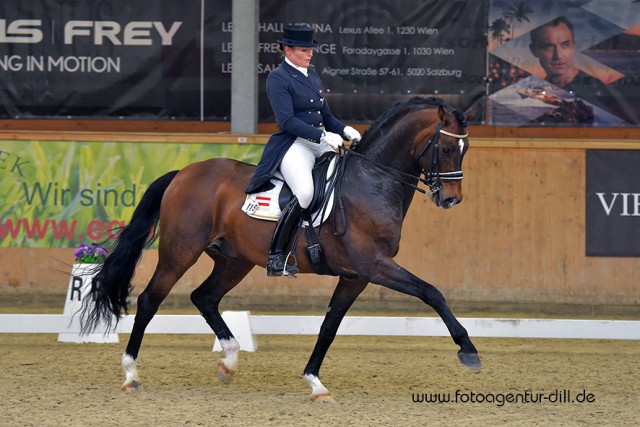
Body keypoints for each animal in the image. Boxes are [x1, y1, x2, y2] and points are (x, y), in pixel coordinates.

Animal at [80, 97, 480, 404]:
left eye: (465, 149)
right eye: (446, 148)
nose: (451, 199)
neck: (371, 182)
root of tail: (183, 173)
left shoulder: (355, 276)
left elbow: (329, 326)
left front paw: (316, 384)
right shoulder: (373, 265)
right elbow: (432, 292)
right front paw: (468, 350)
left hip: (234, 260)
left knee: (204, 297)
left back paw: (229, 361)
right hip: (180, 252)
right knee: (150, 300)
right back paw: (131, 375)